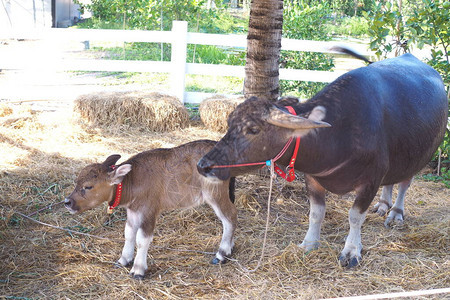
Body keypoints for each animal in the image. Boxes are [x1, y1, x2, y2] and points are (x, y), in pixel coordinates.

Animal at [66, 140, 239, 278]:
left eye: (88, 186)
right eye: (77, 181)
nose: (67, 202)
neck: (133, 180)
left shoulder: (149, 211)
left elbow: (142, 240)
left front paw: (138, 269)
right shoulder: (133, 211)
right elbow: (129, 234)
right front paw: (124, 259)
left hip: (215, 194)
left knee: (230, 217)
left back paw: (222, 254)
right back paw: (230, 247)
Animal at [197, 49, 446, 268]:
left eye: (253, 129)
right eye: (229, 123)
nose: (203, 166)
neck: (340, 134)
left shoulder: (370, 181)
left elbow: (355, 216)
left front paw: (351, 251)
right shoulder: (313, 179)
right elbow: (316, 214)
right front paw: (309, 243)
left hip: (418, 156)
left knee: (404, 182)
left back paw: (395, 213)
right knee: (391, 181)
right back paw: (383, 205)